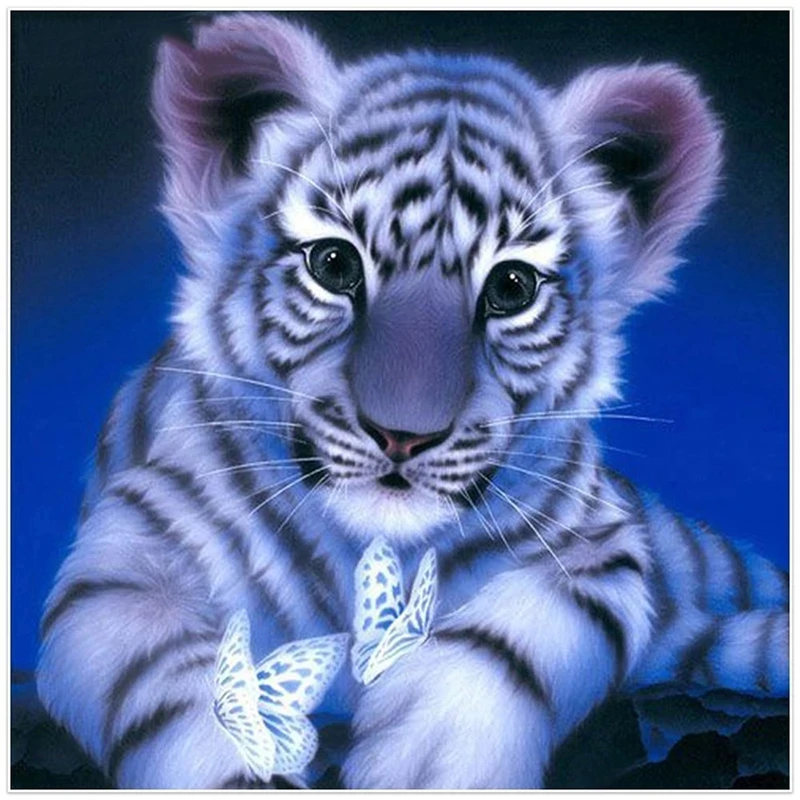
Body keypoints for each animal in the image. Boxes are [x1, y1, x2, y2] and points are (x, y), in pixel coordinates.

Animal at [36, 13, 788, 790]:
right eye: (333, 264)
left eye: (512, 287)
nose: (403, 436)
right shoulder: (126, 559)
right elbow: (185, 686)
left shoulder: (601, 544)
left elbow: (516, 635)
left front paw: (428, 761)